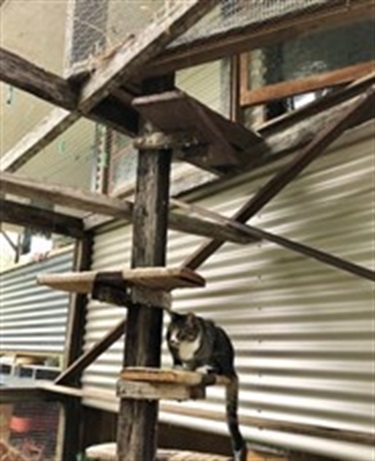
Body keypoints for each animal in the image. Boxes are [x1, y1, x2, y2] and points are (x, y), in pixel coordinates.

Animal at [167, 310, 247, 458]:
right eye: (170, 331)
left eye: (180, 332)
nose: (172, 340)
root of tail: (232, 368)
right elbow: (178, 361)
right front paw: (178, 367)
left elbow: (196, 362)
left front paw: (192, 368)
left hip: (220, 351)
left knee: (219, 370)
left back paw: (204, 369)